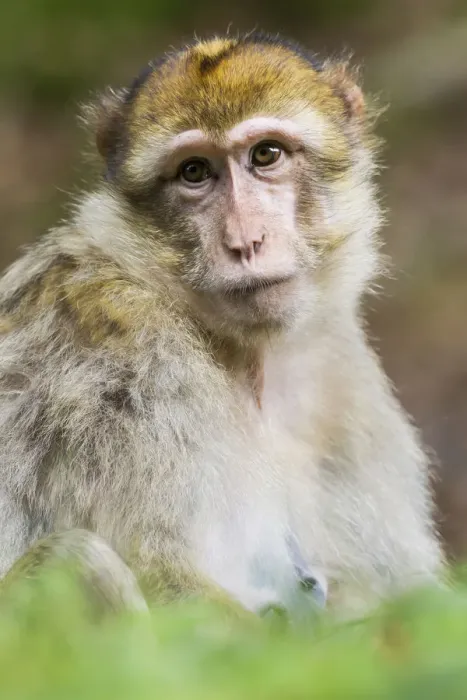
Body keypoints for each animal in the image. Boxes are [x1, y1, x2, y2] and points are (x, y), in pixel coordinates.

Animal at [0, 32, 444, 622]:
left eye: (266, 155)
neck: (243, 359)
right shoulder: (118, 362)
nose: (244, 241)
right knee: (78, 558)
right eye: (194, 172)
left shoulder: (340, 371)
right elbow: (166, 576)